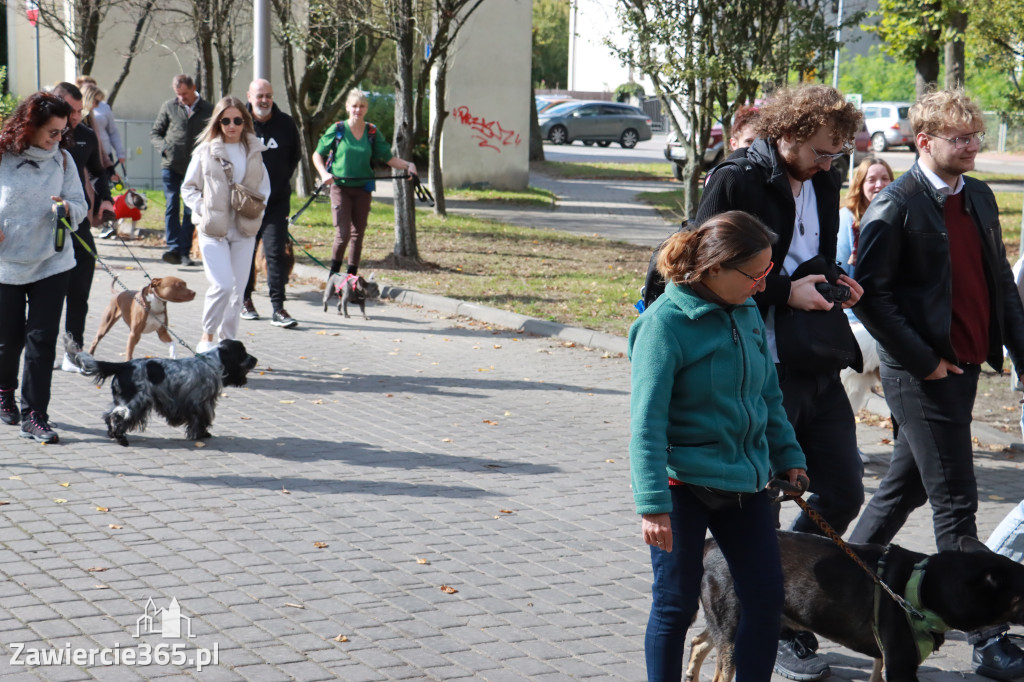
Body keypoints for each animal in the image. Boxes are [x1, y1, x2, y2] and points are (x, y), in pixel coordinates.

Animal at [64, 335, 258, 446]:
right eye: (243, 352)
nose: (255, 359)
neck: (212, 362)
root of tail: (124, 365)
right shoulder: (201, 402)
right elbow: (200, 420)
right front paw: (202, 434)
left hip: (122, 399)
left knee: (108, 414)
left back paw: (112, 434)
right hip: (136, 401)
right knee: (119, 416)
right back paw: (121, 439)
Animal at [688, 532, 1024, 679]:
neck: (924, 587)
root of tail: (710, 544)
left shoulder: (884, 658)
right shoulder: (900, 665)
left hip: (726, 623)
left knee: (698, 641)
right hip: (736, 630)